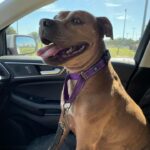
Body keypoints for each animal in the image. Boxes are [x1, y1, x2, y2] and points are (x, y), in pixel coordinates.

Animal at [37, 10, 150, 150]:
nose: (42, 21)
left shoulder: (85, 141)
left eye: (76, 21)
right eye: (56, 17)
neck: (83, 76)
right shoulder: (64, 123)